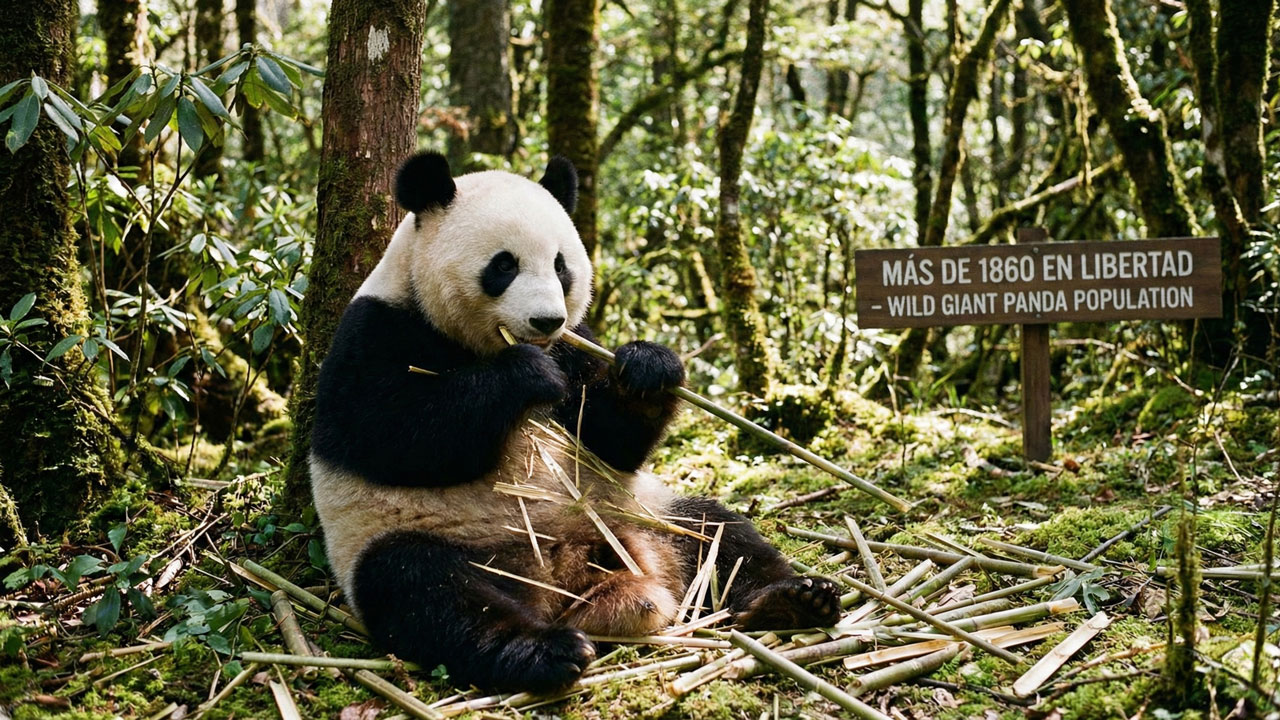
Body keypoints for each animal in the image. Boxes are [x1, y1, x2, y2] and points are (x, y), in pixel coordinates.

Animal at [308, 151, 841, 694]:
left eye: (561, 265)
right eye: (504, 265)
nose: (546, 321)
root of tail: (563, 583)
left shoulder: (577, 342)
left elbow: (610, 438)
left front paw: (648, 368)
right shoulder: (375, 330)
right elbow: (387, 433)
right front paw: (524, 376)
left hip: (643, 514)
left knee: (717, 534)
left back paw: (794, 598)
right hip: (426, 540)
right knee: (427, 590)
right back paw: (544, 651)